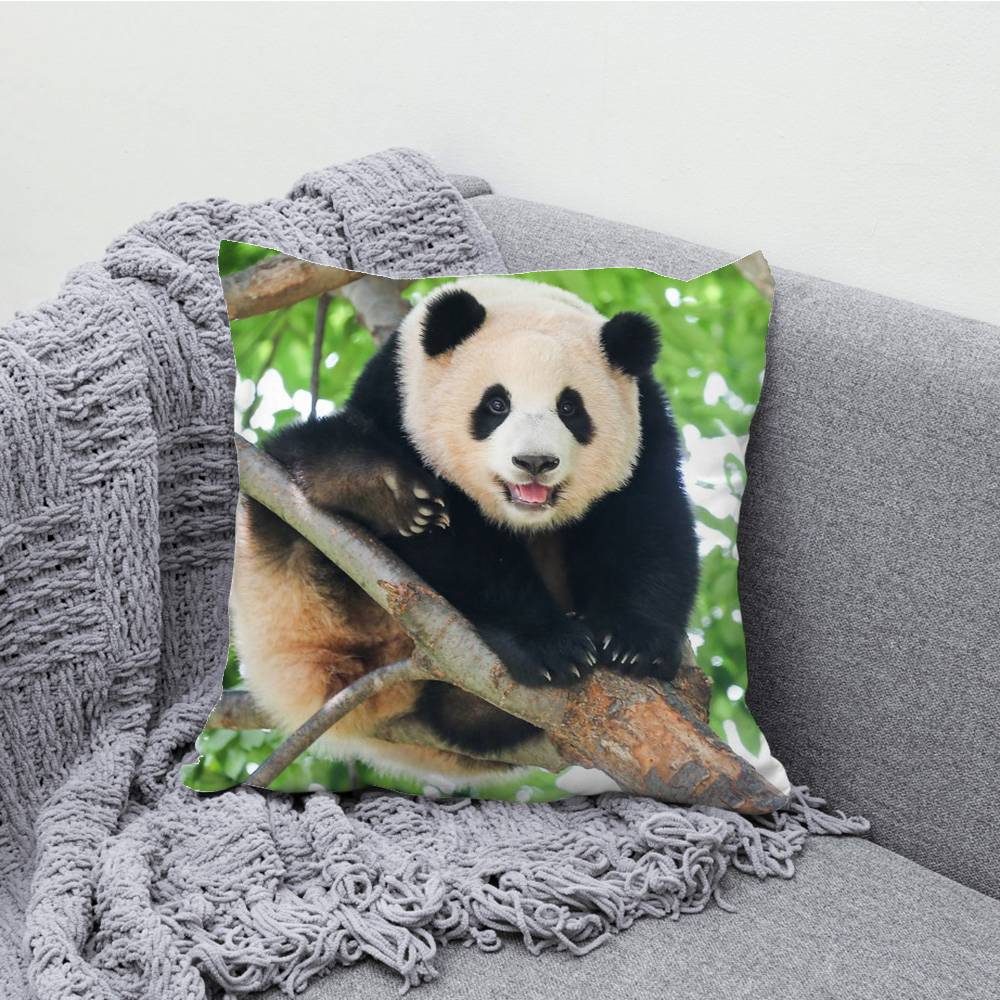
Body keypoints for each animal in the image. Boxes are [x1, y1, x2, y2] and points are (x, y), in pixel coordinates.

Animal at [231, 275, 699, 783]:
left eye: (570, 408)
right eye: (496, 403)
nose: (534, 462)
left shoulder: (647, 425)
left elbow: (649, 525)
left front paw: (635, 644)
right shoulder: (398, 398)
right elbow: (459, 552)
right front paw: (551, 646)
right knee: (295, 476)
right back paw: (371, 487)